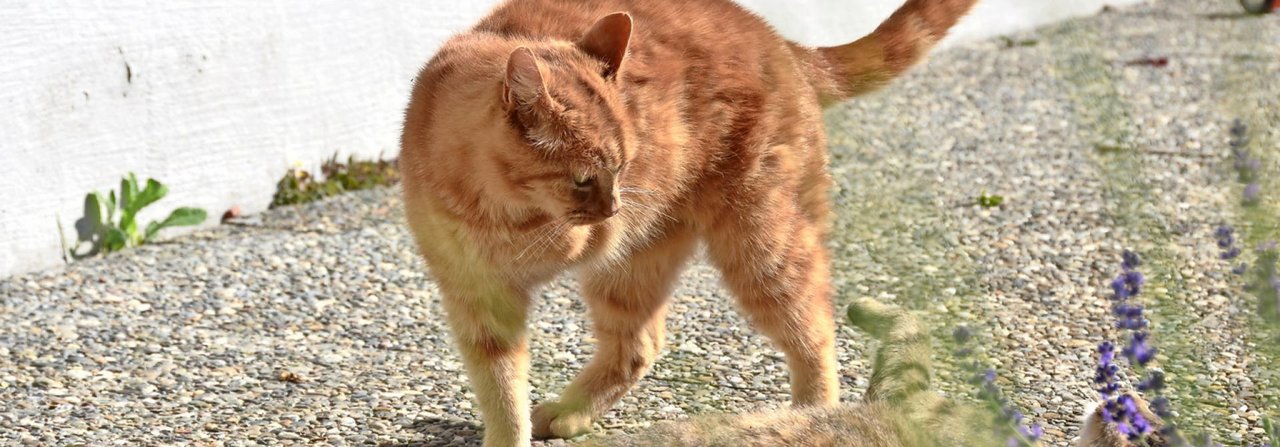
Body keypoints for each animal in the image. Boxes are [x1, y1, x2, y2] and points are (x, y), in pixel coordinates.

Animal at [401, 1, 977, 443]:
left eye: (622, 167)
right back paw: (571, 413)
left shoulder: (581, 247)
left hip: (760, 249)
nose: (614, 209)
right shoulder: (478, 298)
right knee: (640, 346)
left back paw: (811, 414)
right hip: (638, 268)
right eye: (585, 179)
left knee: (816, 330)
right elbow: (501, 391)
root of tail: (778, 39)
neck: (497, 209)